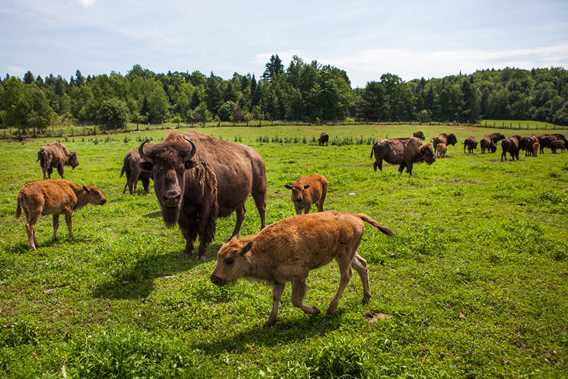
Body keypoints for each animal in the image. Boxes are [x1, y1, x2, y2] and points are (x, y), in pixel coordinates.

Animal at [140, 132, 268, 260]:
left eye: (181, 169)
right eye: (157, 171)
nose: (172, 197)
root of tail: (256, 155)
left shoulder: (206, 208)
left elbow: (202, 229)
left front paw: (201, 253)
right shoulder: (183, 212)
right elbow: (187, 230)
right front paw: (188, 250)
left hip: (259, 190)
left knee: (261, 209)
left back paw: (262, 231)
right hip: (239, 199)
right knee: (241, 214)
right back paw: (232, 238)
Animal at [211, 211, 392, 326]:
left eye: (229, 260)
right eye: (218, 257)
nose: (214, 278)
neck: (260, 249)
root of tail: (355, 216)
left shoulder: (299, 276)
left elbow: (296, 300)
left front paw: (315, 310)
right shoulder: (278, 280)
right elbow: (276, 298)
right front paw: (270, 321)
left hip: (343, 256)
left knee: (347, 275)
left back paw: (331, 308)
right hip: (348, 254)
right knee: (362, 265)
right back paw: (366, 297)